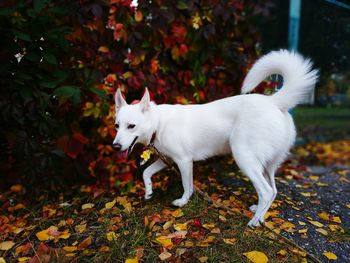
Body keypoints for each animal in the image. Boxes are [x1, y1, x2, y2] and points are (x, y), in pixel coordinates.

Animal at [112, 50, 318, 227]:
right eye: (117, 126)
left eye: (131, 126)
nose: (115, 146)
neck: (159, 123)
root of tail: (273, 101)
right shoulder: (167, 159)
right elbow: (146, 172)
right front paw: (148, 192)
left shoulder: (184, 162)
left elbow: (187, 186)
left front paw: (182, 202)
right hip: (267, 165)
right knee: (273, 191)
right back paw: (259, 216)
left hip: (244, 158)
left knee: (266, 192)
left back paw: (253, 222)